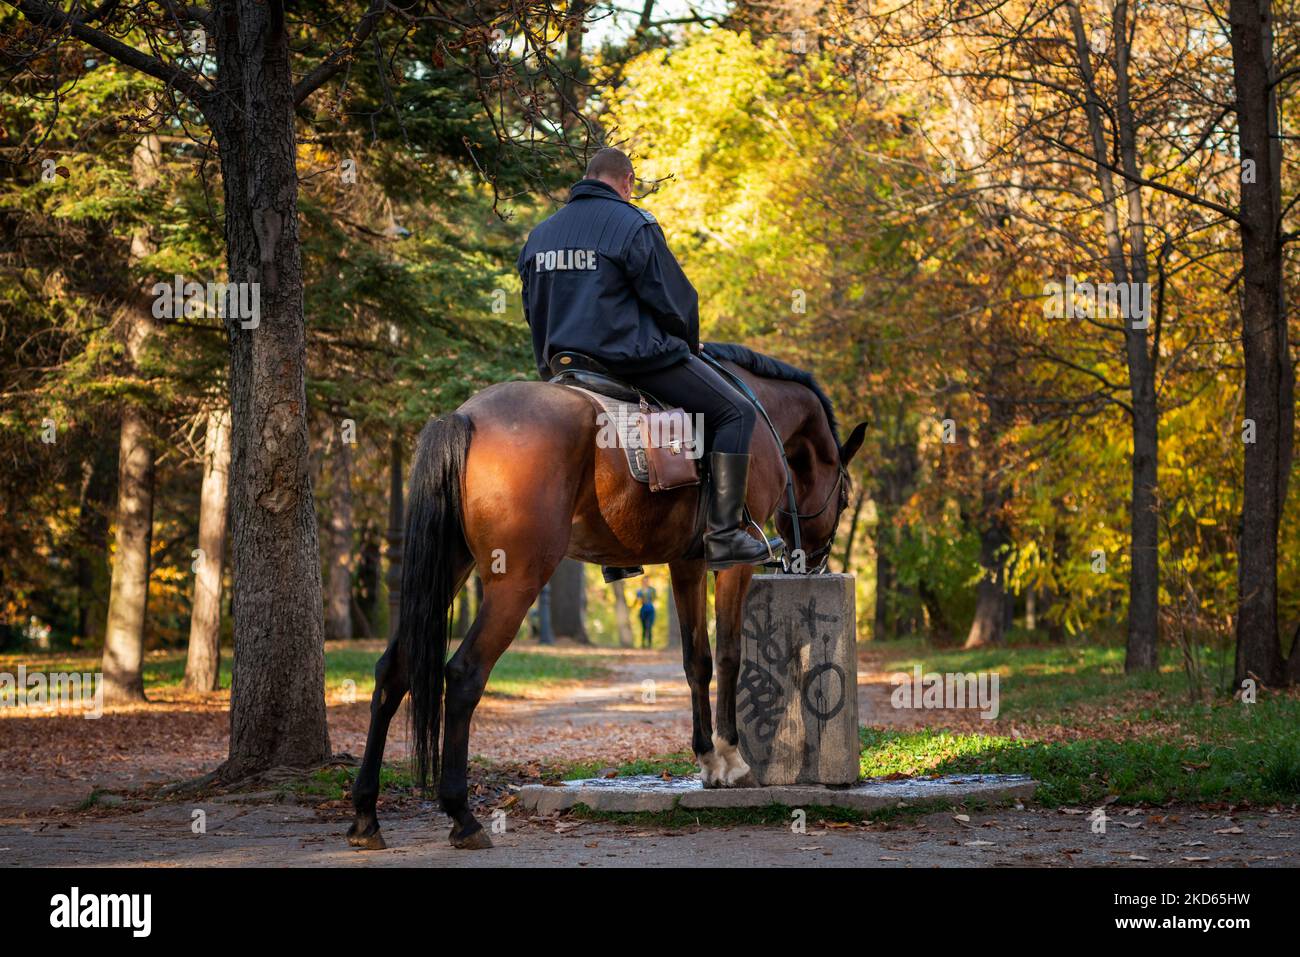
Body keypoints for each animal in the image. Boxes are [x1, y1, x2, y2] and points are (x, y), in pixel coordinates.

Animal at [346, 343, 867, 850]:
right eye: (844, 496)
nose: (814, 562)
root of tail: (466, 416)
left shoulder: (687, 564)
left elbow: (696, 660)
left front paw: (707, 760)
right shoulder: (731, 566)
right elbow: (729, 656)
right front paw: (731, 757)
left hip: (452, 568)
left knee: (394, 670)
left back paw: (366, 815)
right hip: (516, 580)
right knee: (463, 674)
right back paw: (462, 816)